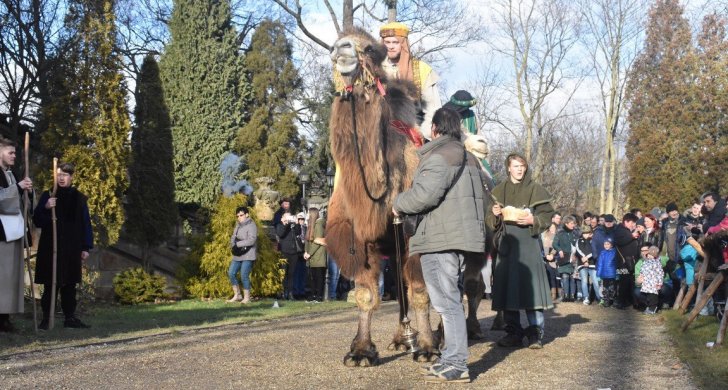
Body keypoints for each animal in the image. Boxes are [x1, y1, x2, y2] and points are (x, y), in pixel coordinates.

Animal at [328, 26, 486, 366]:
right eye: (333, 45)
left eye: (371, 50)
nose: (341, 50)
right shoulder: (359, 239)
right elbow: (366, 295)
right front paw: (361, 351)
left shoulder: (416, 235)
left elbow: (420, 292)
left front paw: (426, 348)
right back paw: (404, 338)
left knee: (470, 284)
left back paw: (465, 331)